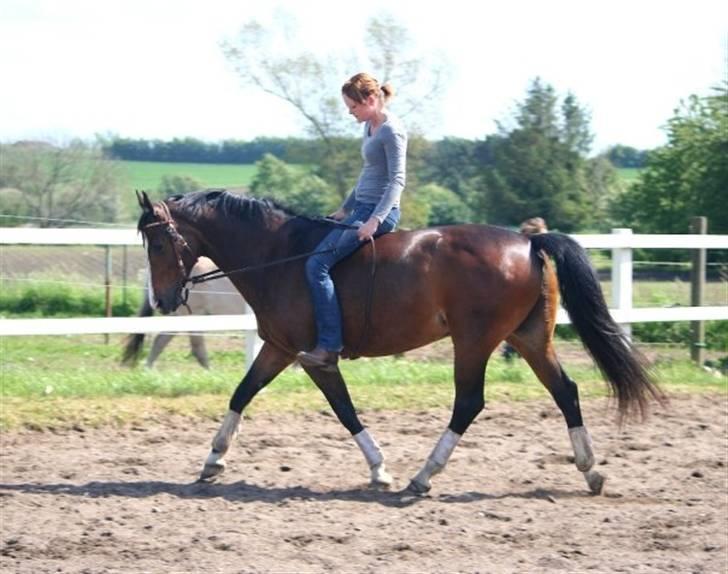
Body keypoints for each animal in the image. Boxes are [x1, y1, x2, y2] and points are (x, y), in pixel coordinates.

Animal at [134, 189, 664, 496]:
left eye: (159, 243)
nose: (162, 299)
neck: (281, 256)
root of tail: (528, 242)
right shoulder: (278, 348)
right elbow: (241, 394)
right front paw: (213, 461)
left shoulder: (314, 359)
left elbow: (344, 410)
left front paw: (380, 470)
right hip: (531, 338)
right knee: (565, 392)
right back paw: (591, 471)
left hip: (474, 341)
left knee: (469, 402)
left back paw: (423, 475)